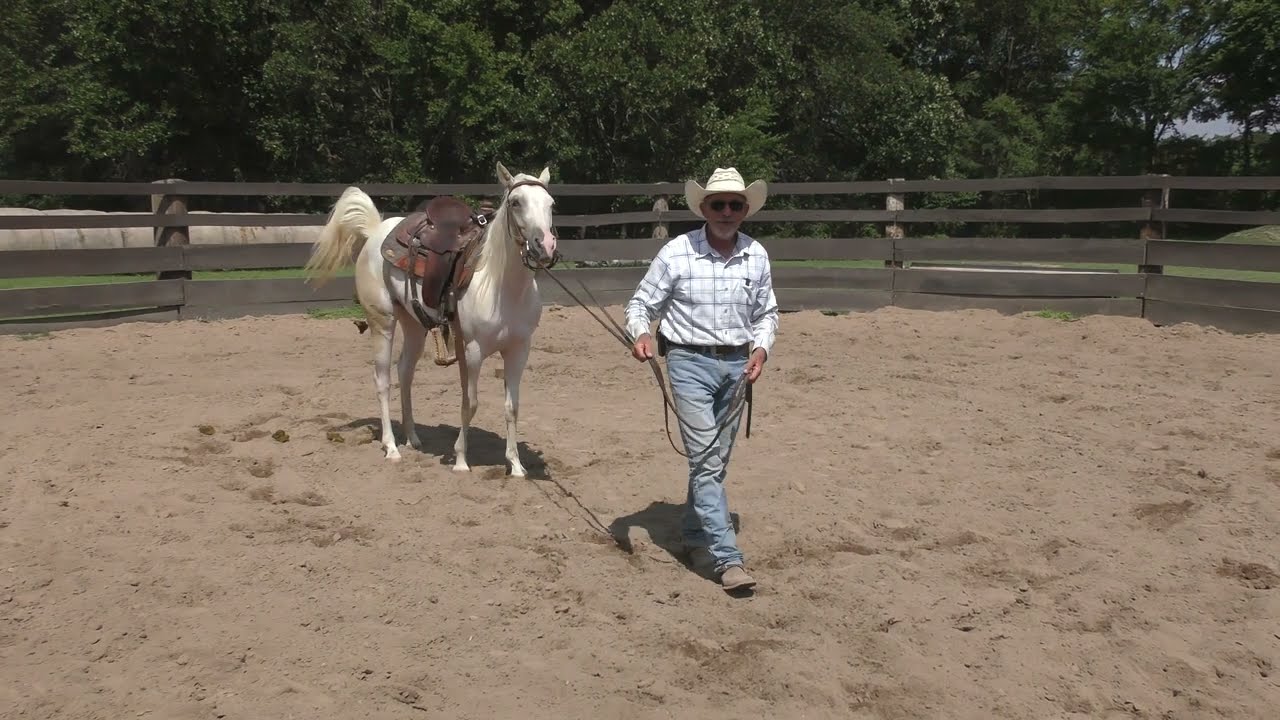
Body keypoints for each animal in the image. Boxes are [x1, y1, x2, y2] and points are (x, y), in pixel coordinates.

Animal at [303, 162, 558, 475]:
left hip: (413, 324)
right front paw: (460, 460)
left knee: (404, 372)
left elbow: (512, 407)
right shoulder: (472, 350)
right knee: (383, 380)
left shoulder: (518, 350)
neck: (501, 286)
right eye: (515, 202)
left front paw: (517, 466)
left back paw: (412, 437)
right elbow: (470, 403)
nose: (545, 246)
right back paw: (391, 447)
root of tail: (376, 231)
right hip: (382, 322)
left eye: (551, 204)